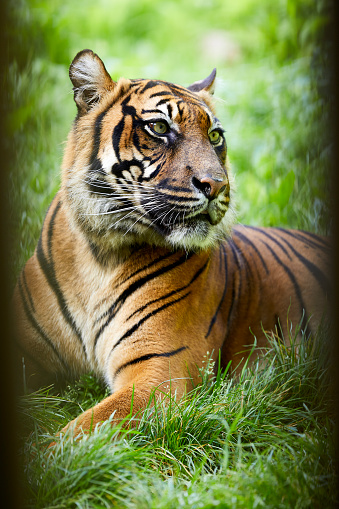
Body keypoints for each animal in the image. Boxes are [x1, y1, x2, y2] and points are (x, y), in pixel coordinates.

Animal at [12, 49, 330, 434]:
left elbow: (76, 434)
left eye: (214, 135)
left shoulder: (157, 375)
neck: (100, 253)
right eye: (161, 128)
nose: (217, 185)